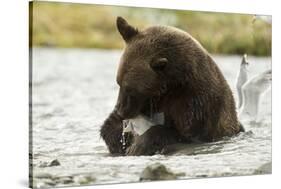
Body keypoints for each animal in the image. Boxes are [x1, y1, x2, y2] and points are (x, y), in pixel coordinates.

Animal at [100, 16, 243, 155]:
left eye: (131, 88)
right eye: (119, 82)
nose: (121, 110)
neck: (170, 85)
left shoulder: (195, 104)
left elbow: (185, 135)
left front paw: (138, 146)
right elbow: (110, 125)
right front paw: (119, 138)